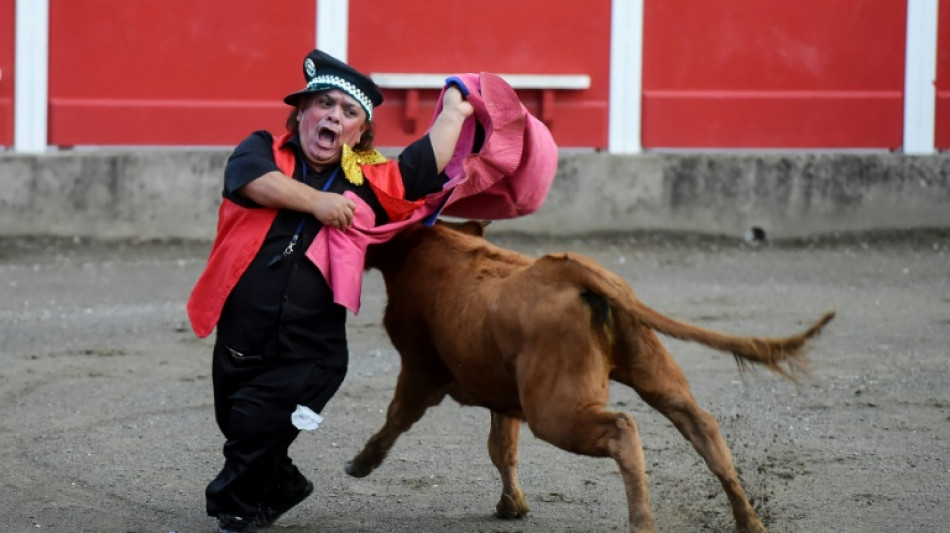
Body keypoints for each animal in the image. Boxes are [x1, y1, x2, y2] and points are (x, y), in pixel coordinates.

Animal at [348, 219, 832, 532]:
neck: (424, 248)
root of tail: (572, 268)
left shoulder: (419, 368)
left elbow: (399, 416)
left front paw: (361, 463)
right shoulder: (505, 395)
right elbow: (502, 447)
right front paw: (512, 505)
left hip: (554, 411)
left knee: (623, 428)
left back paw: (644, 524)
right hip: (652, 371)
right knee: (700, 424)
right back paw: (750, 522)